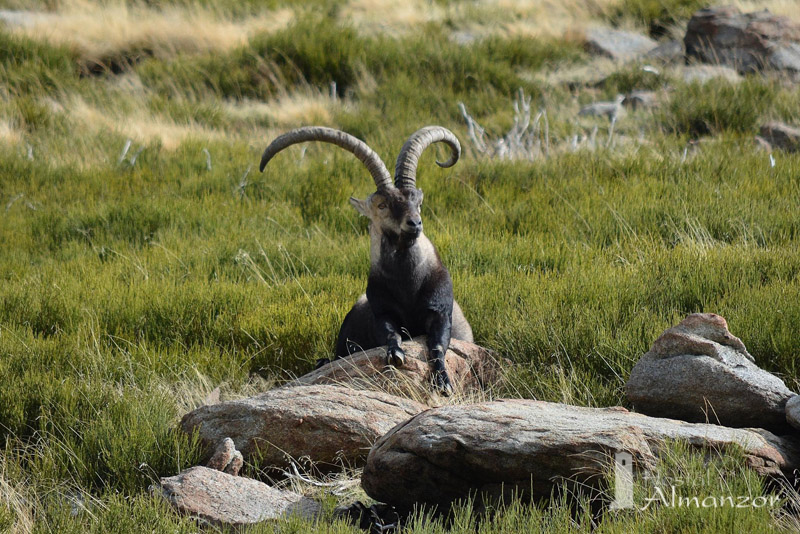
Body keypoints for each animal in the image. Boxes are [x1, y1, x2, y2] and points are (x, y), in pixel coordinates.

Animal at [260, 124, 472, 394]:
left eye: (418, 202)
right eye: (382, 205)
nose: (414, 223)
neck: (408, 284)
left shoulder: (441, 311)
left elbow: (437, 344)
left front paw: (443, 381)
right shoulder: (381, 311)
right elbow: (390, 334)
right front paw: (396, 354)